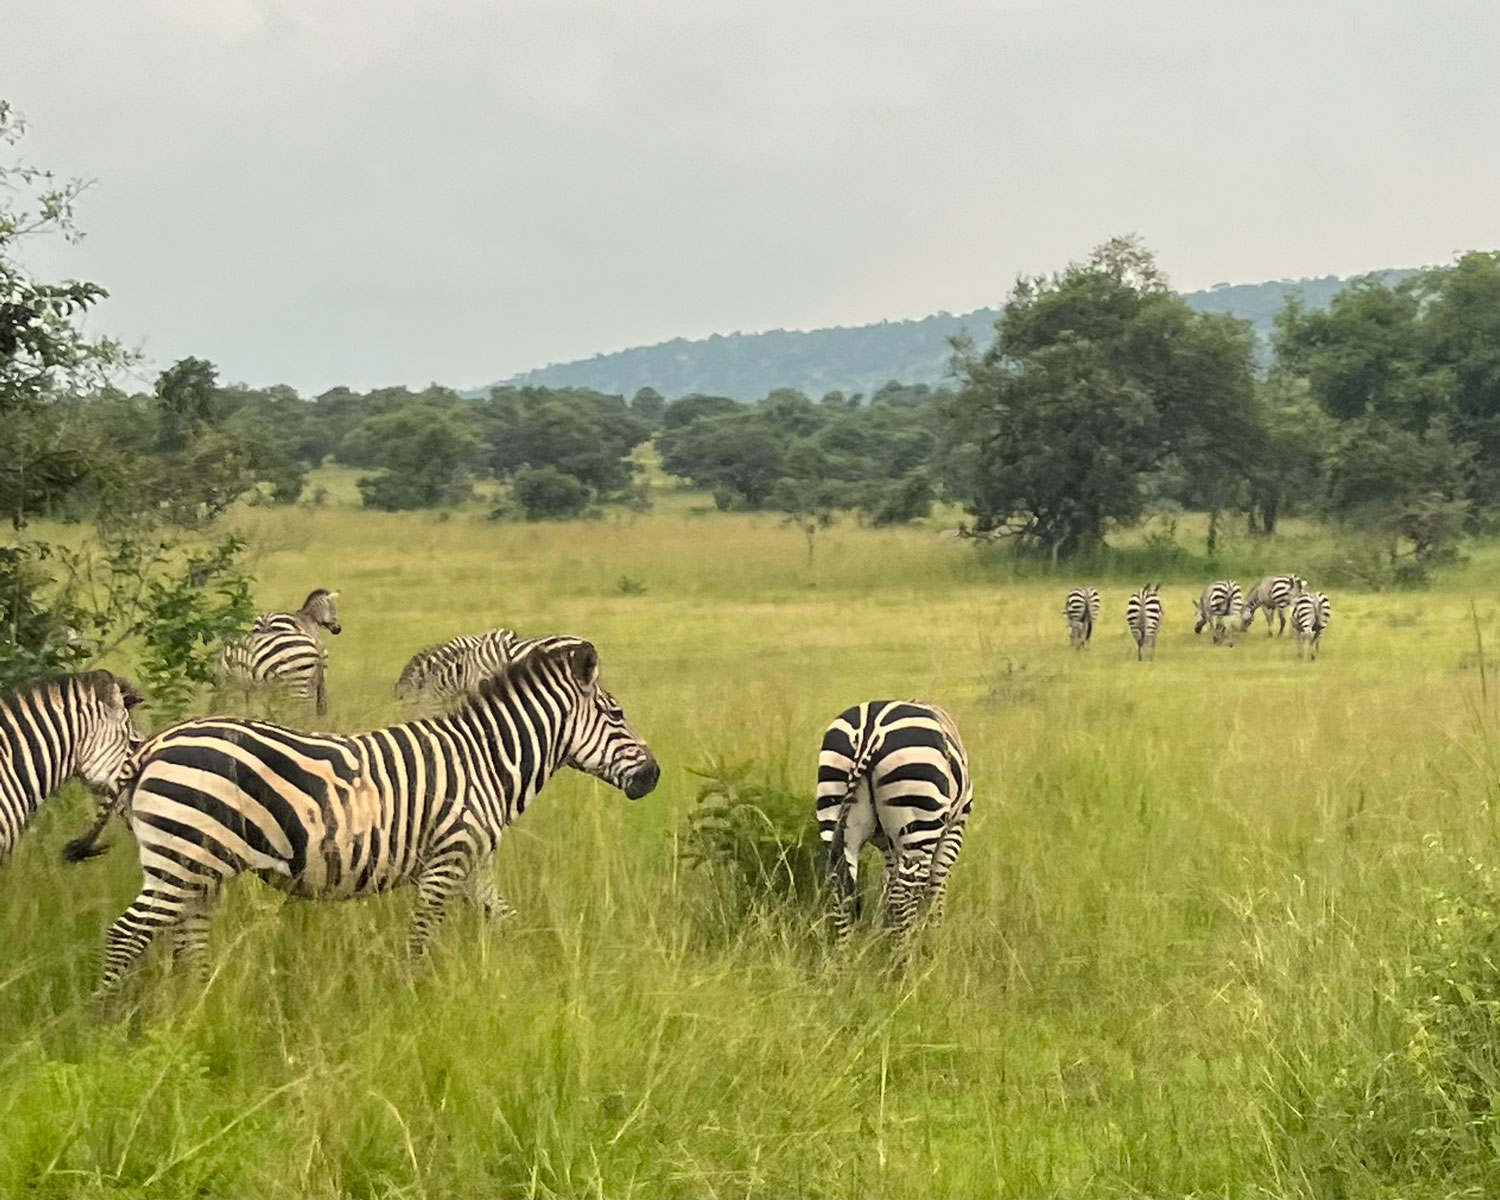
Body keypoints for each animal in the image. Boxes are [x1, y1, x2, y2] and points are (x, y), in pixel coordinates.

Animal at [70, 636, 657, 1002]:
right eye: (618, 715)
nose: (653, 776)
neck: (486, 759)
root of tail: (153, 745)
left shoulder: (473, 862)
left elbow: (507, 921)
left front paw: (536, 972)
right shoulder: (447, 858)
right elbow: (420, 936)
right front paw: (413, 995)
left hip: (196, 864)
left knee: (185, 937)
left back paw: (200, 1003)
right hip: (181, 857)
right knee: (126, 935)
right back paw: (102, 1018)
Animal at [822, 699, 972, 954]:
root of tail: (869, 732)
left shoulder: (889, 844)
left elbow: (889, 886)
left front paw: (885, 933)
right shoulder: (954, 829)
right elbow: (936, 886)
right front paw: (934, 941)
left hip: (833, 807)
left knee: (841, 888)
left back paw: (844, 959)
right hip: (918, 818)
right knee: (903, 895)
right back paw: (902, 959)